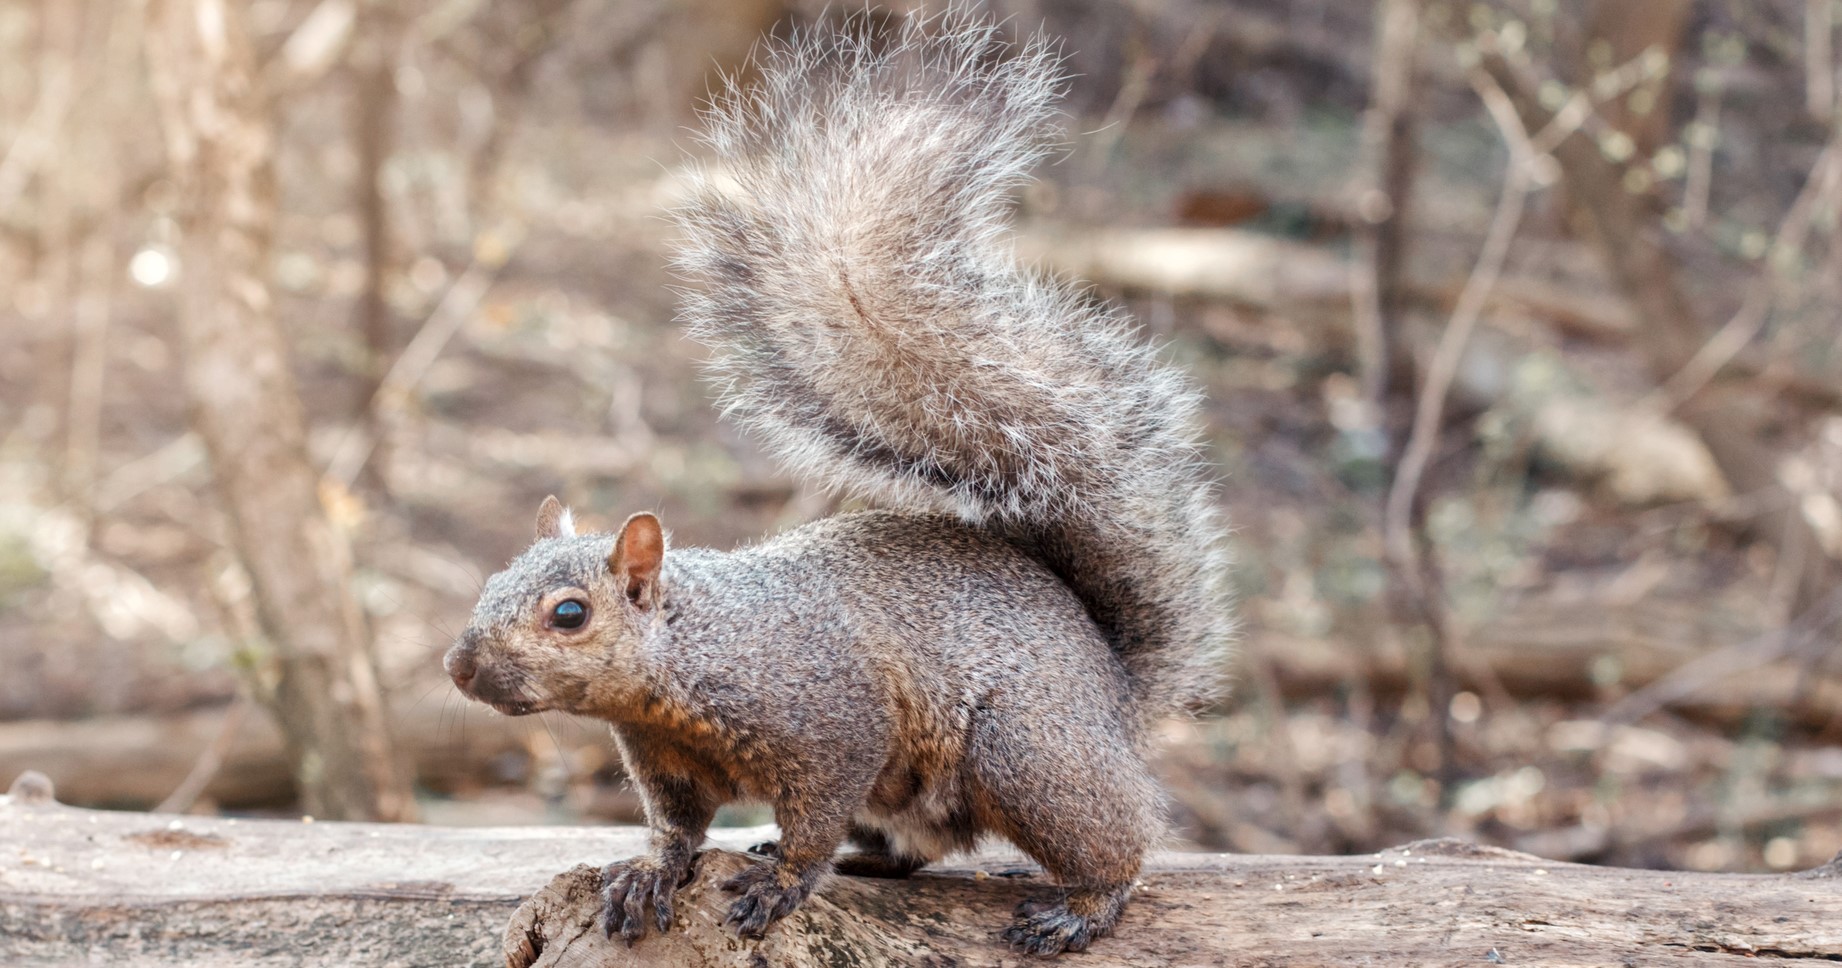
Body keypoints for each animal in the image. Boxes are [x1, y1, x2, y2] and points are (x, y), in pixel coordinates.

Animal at [438, 11, 1230, 956]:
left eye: (569, 614)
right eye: (491, 581)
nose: (457, 666)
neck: (694, 655)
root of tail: (1117, 694)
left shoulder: (832, 723)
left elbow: (815, 815)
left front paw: (782, 882)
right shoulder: (666, 763)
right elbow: (677, 830)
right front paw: (651, 874)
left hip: (1027, 753)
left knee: (1119, 841)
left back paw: (1082, 906)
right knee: (916, 845)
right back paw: (871, 859)